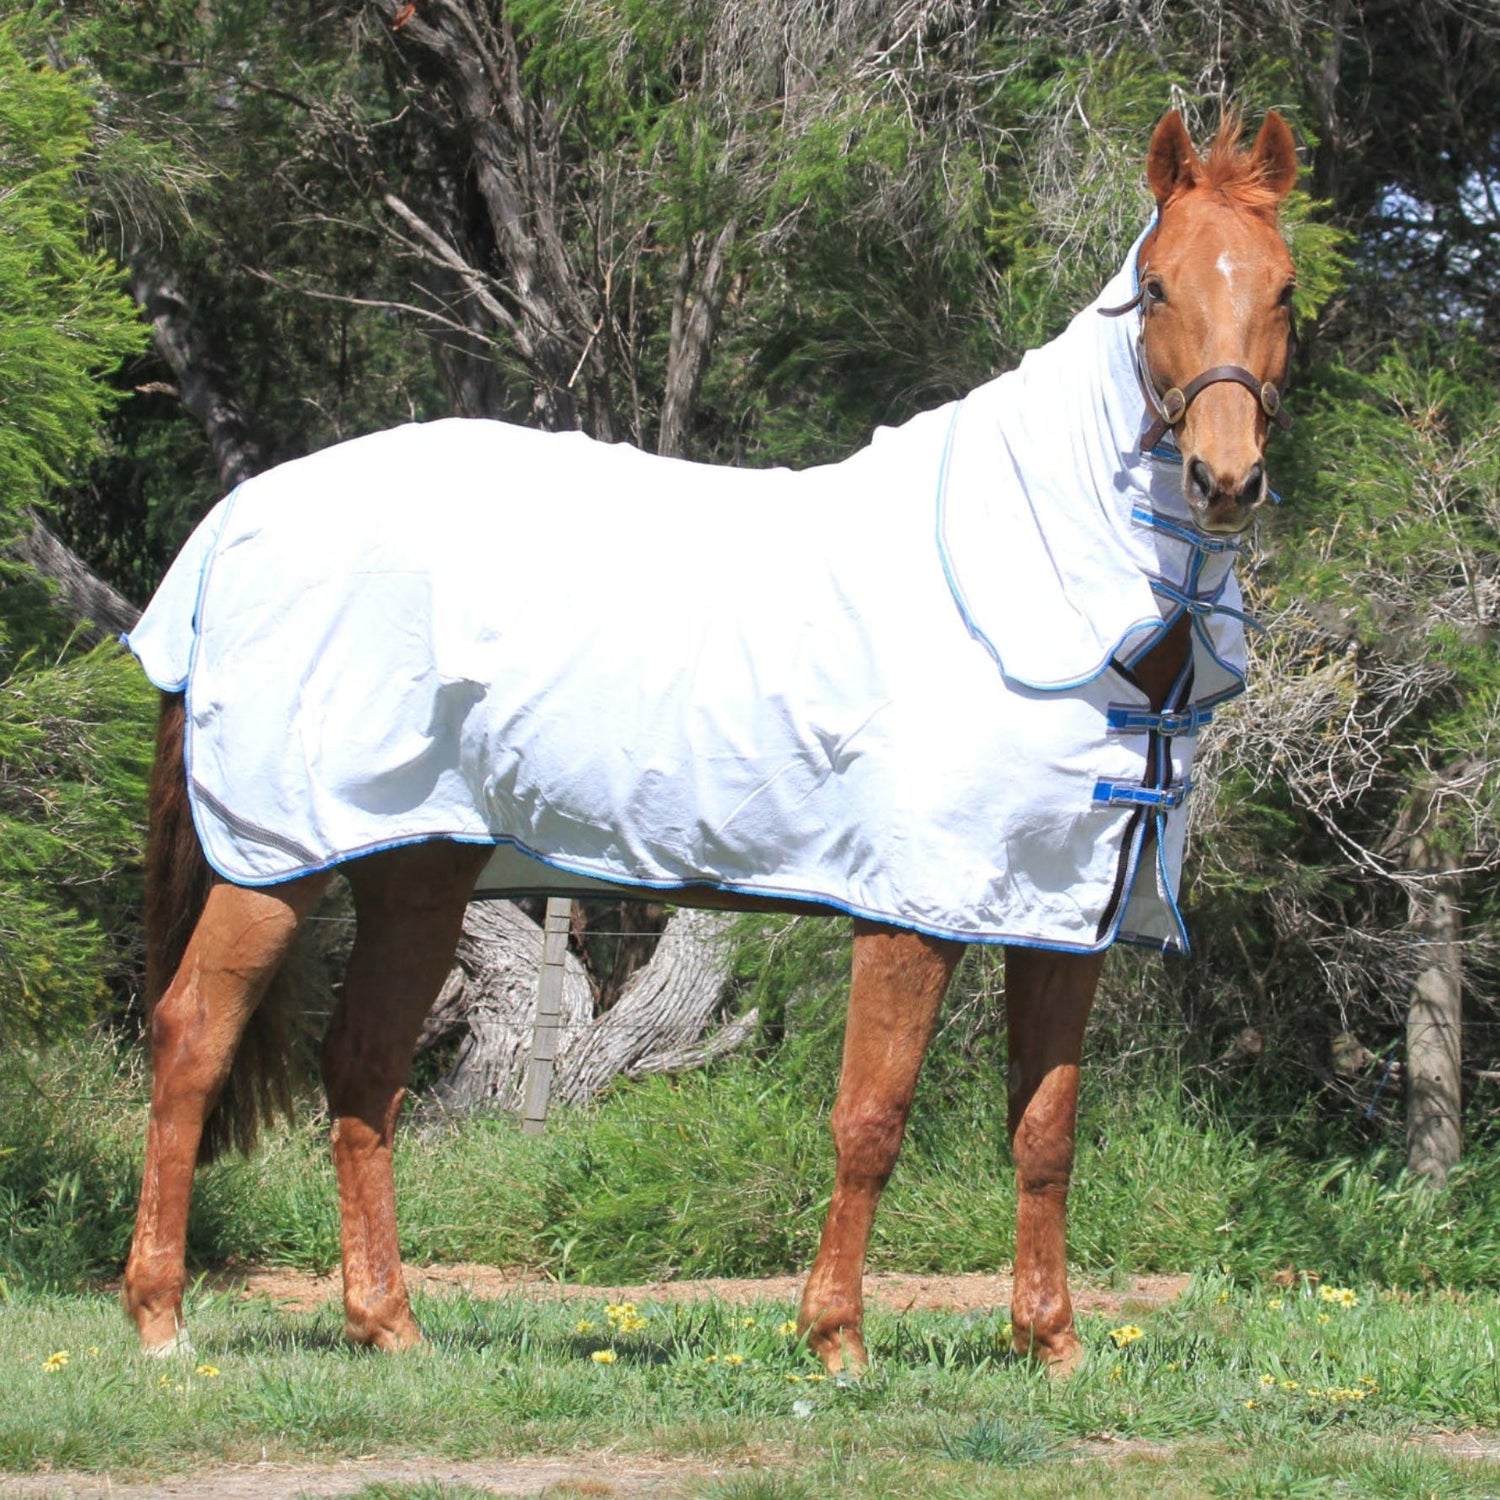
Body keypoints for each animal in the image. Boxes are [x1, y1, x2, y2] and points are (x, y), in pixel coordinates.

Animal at [120, 108, 1299, 1375]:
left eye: (1284, 288)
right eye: (1158, 284)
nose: (1224, 478)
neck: (1034, 577)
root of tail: (234, 521)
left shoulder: (1061, 914)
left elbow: (1045, 1131)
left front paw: (1052, 1344)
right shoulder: (911, 911)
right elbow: (872, 1115)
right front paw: (836, 1339)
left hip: (417, 869)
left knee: (365, 1066)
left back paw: (388, 1324)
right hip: (277, 857)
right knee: (191, 1042)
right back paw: (161, 1320)